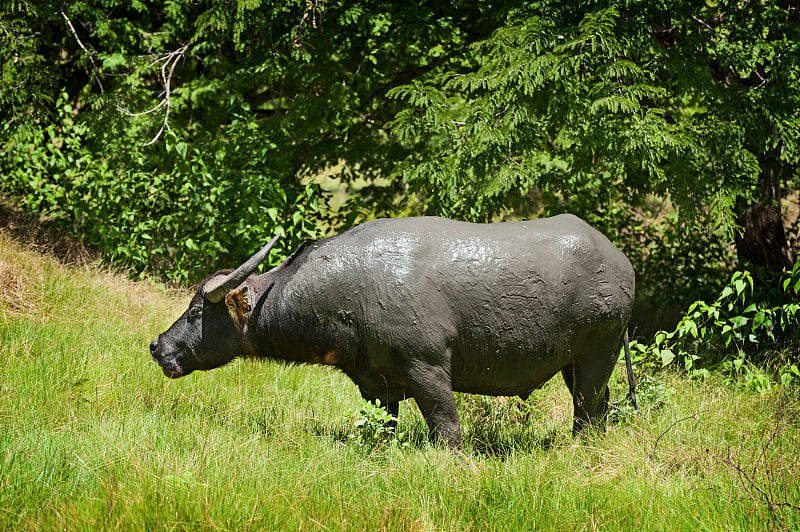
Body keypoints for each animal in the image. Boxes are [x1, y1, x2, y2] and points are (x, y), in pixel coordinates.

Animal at [150, 214, 636, 446]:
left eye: (196, 309)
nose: (157, 346)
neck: (349, 290)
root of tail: (621, 263)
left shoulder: (429, 368)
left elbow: (447, 428)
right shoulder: (377, 384)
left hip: (598, 352)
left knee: (587, 411)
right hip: (578, 363)